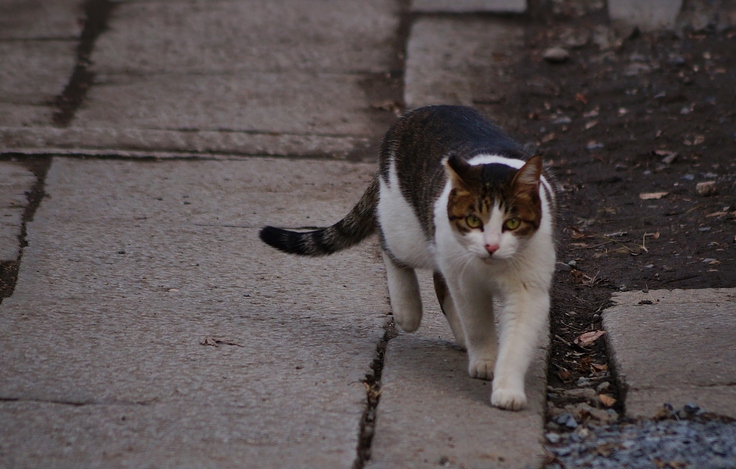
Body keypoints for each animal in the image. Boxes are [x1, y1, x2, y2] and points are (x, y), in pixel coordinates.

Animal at [262, 104, 556, 408]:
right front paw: (486, 360)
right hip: (408, 232)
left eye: (512, 223)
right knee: (388, 243)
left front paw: (507, 388)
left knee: (440, 281)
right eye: (474, 220)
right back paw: (407, 309)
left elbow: (517, 338)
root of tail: (420, 110)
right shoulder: (466, 283)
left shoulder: (527, 289)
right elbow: (478, 325)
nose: (491, 246)